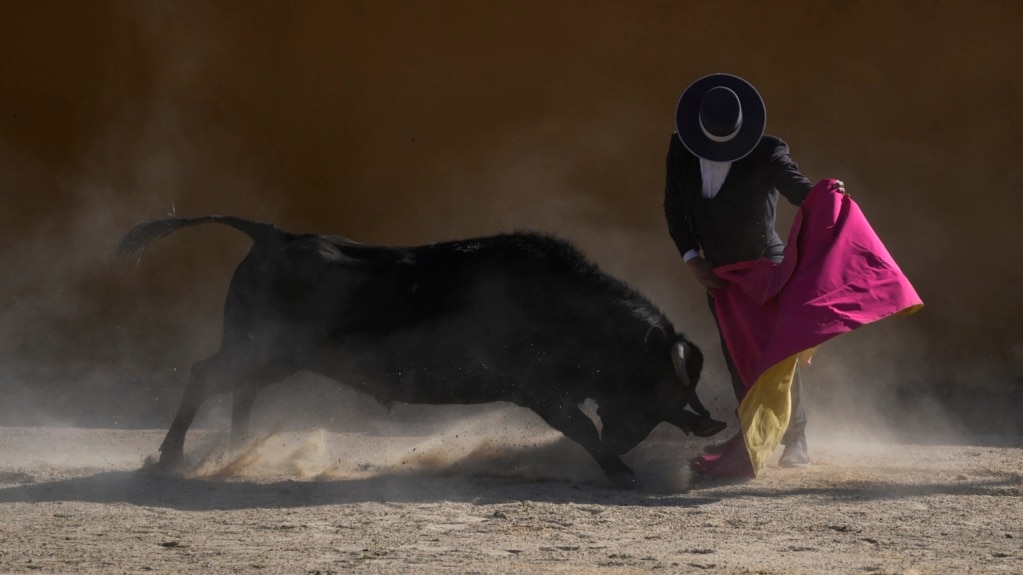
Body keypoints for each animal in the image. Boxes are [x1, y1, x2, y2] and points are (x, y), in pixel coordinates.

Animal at [117, 214, 728, 482]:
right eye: (653, 382)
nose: (705, 423)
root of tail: (273, 235)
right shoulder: (539, 389)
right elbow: (577, 426)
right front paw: (618, 469)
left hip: (270, 356)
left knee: (239, 392)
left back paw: (234, 451)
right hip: (261, 350)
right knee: (205, 375)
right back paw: (171, 458)